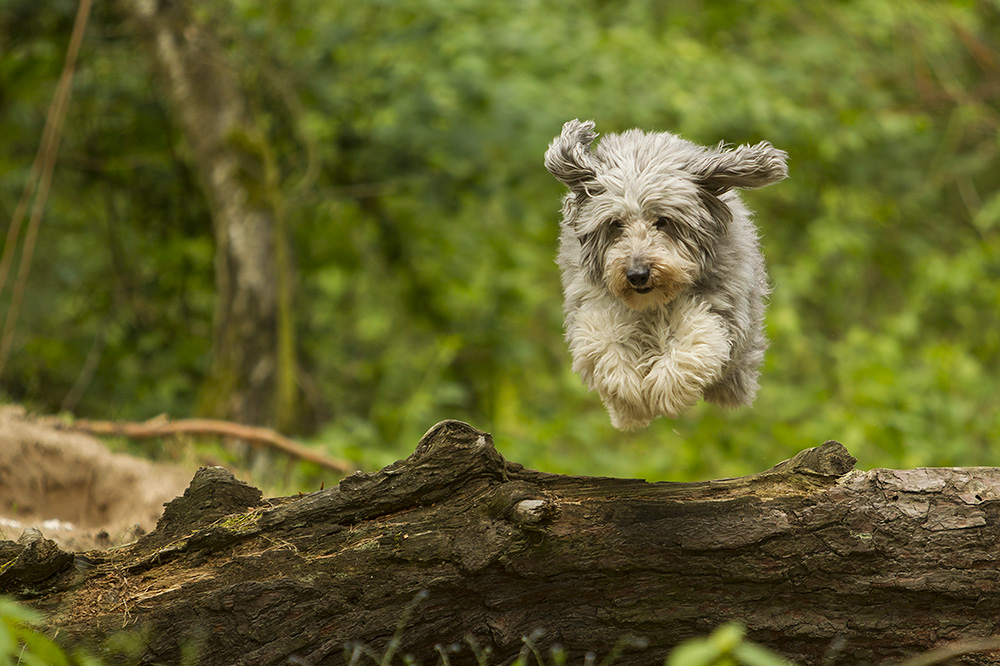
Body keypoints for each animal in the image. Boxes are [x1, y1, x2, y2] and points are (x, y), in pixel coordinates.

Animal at [548, 119, 788, 428]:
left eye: (662, 221)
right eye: (615, 224)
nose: (637, 274)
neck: (654, 304)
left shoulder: (720, 309)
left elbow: (696, 341)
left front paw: (662, 391)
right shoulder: (594, 306)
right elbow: (605, 342)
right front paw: (632, 401)